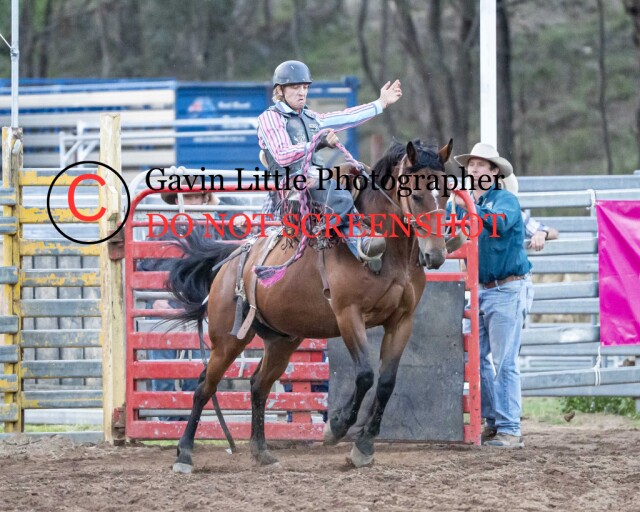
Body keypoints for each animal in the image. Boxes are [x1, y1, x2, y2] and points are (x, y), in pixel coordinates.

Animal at [166, 139, 454, 472]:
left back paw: (261, 452)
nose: (436, 254)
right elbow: (365, 374)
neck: (390, 256)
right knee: (204, 387)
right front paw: (336, 427)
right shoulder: (348, 315)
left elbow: (386, 382)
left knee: (258, 385)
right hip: (228, 340)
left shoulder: (402, 320)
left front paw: (364, 447)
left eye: (446, 193)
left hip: (282, 341)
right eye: (416, 195)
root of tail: (232, 260)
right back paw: (184, 454)